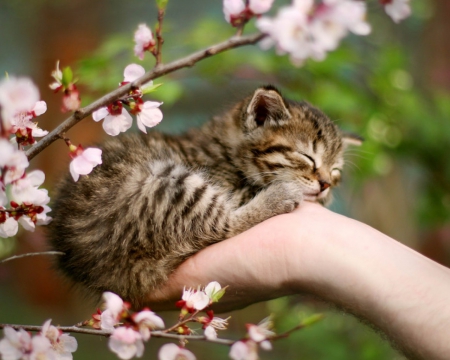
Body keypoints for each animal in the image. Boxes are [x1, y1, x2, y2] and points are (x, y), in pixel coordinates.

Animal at [49, 85, 360, 306]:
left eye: (335, 171)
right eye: (306, 156)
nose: (325, 184)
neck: (226, 150)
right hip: (161, 182)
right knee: (224, 225)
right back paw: (278, 196)